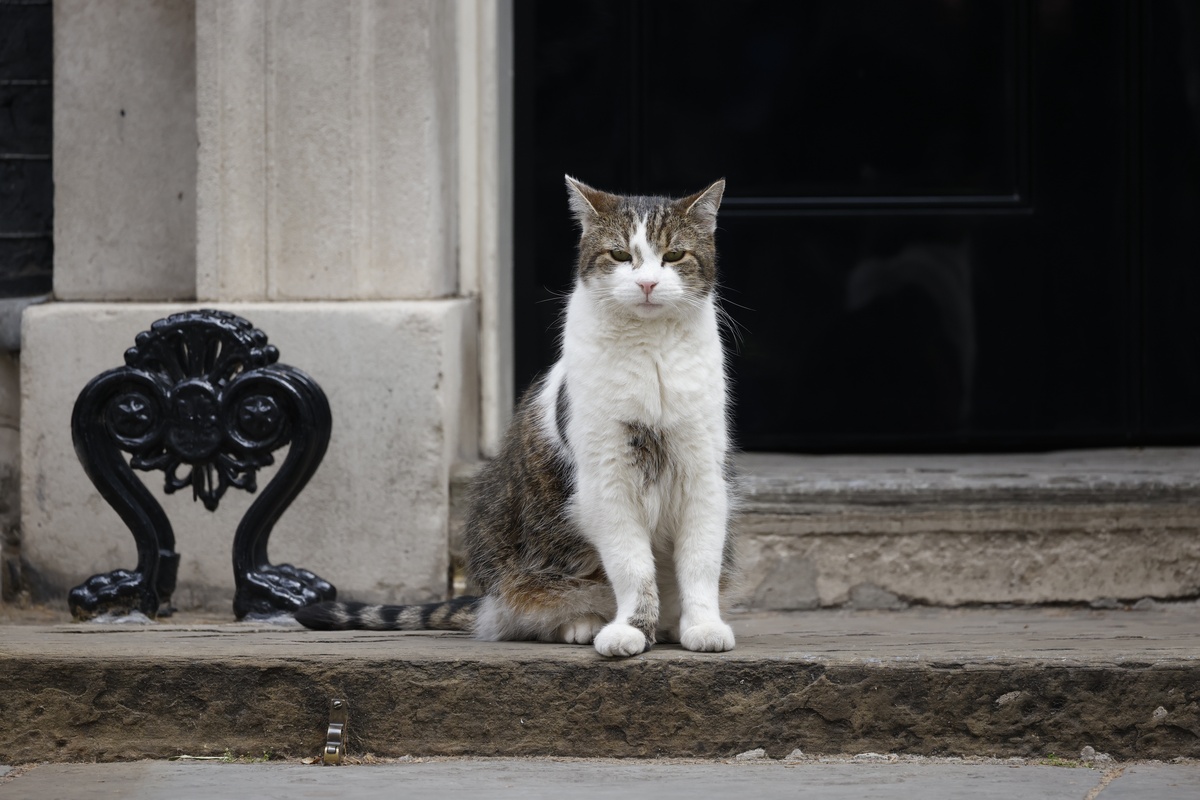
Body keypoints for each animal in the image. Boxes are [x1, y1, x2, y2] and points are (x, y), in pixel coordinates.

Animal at [295, 176, 734, 657]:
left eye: (674, 255)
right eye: (620, 255)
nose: (649, 283)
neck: (651, 351)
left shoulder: (703, 474)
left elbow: (700, 562)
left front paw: (702, 625)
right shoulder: (608, 479)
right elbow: (632, 566)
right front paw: (631, 629)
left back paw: (668, 624)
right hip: (501, 538)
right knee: (523, 611)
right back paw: (583, 623)